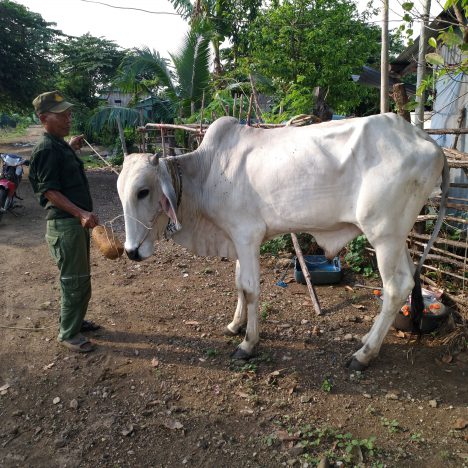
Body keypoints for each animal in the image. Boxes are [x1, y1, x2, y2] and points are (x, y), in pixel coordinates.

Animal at [117, 112, 450, 370]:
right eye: (121, 192)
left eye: (143, 191)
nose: (130, 252)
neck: (208, 170)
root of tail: (429, 143)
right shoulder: (237, 239)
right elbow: (238, 283)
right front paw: (235, 325)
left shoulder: (246, 234)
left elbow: (250, 289)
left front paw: (248, 344)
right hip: (397, 237)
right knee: (408, 280)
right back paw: (367, 340)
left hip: (383, 235)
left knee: (395, 288)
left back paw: (363, 355)